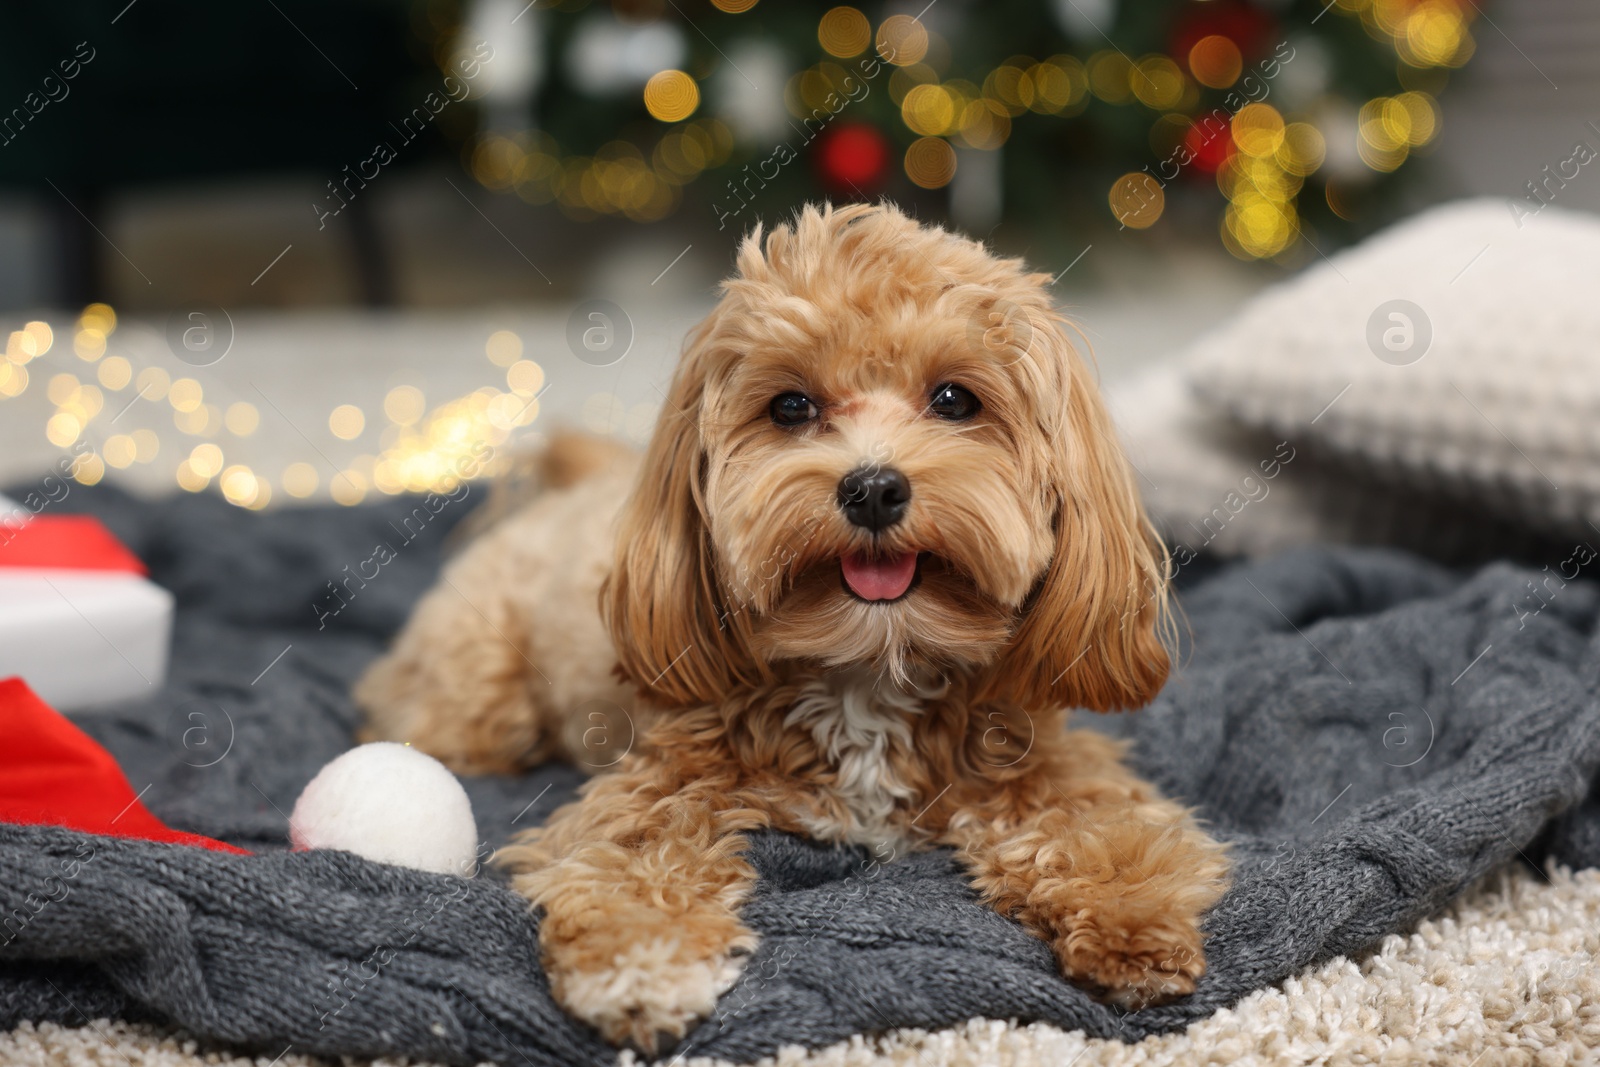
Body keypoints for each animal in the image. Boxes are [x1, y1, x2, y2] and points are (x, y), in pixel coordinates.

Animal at [360, 202, 1222, 1049]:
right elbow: (631, 857)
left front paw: (1132, 920)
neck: (871, 670)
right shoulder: (661, 780)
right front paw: (642, 962)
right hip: (480, 695)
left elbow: (1104, 827)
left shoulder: (1037, 756)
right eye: (791, 407)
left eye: (954, 399)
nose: (873, 488)